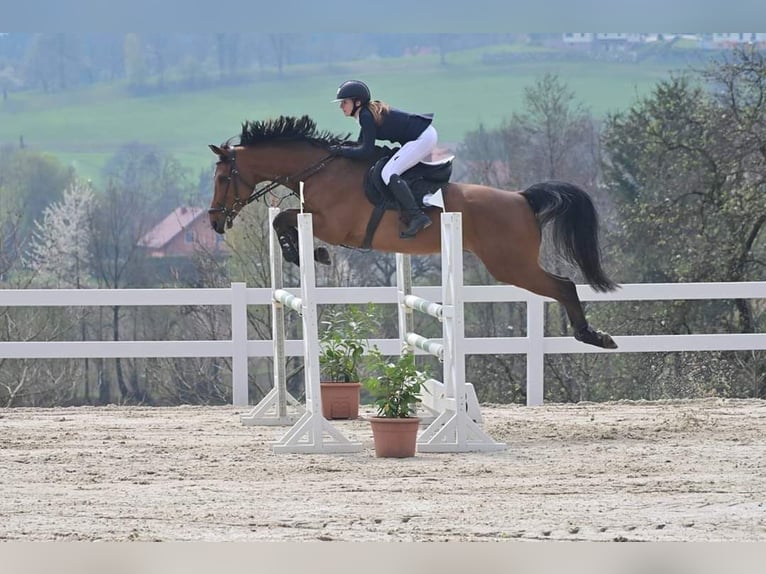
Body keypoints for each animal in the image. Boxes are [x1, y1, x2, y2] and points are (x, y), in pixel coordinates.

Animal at [210, 115, 624, 348]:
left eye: (222, 178)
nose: (214, 221)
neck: (320, 170)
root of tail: (523, 199)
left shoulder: (333, 224)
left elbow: (284, 218)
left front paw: (312, 253)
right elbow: (282, 219)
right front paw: (305, 252)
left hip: (511, 265)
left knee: (563, 286)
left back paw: (593, 336)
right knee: (562, 285)